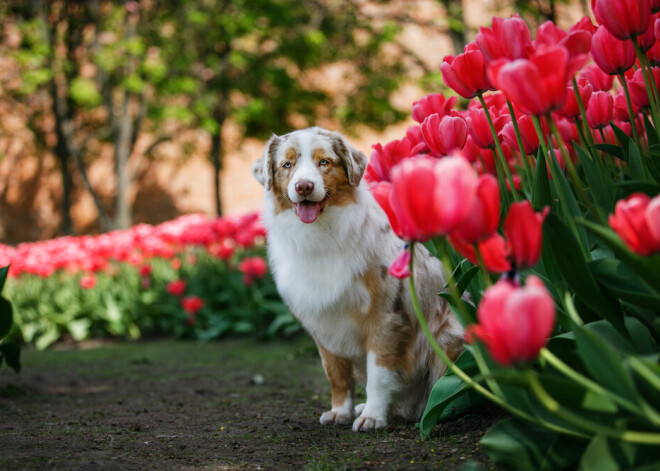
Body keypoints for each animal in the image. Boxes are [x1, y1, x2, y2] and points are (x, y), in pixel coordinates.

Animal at [250, 127, 462, 434]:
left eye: (324, 162)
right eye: (286, 165)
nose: (304, 187)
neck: (321, 235)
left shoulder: (385, 317)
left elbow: (379, 375)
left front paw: (373, 416)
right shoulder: (323, 321)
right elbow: (336, 374)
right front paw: (341, 411)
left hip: (450, 331)